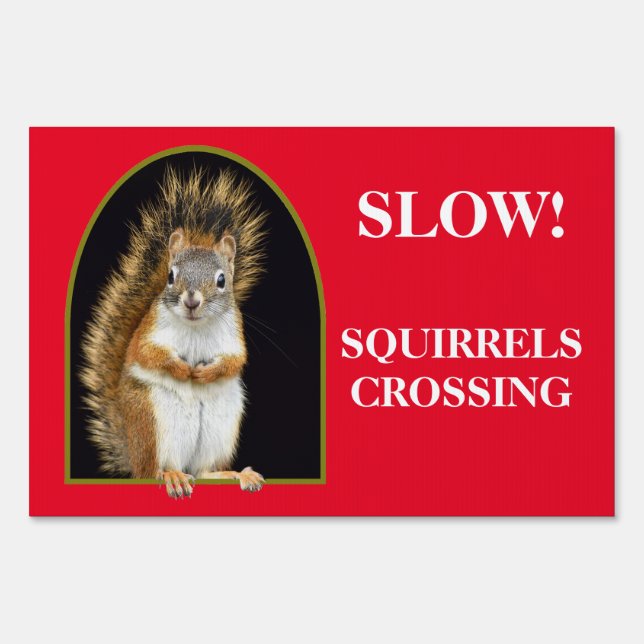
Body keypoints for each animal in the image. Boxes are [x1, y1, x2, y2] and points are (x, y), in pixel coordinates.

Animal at [80, 166, 268, 498]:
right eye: (170, 276)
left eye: (222, 280)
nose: (192, 300)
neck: (196, 326)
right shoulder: (149, 330)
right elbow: (147, 353)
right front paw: (181, 369)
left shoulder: (234, 335)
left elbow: (235, 360)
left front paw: (206, 373)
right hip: (153, 421)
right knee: (155, 469)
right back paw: (171, 476)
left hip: (221, 425)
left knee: (203, 471)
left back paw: (235, 474)